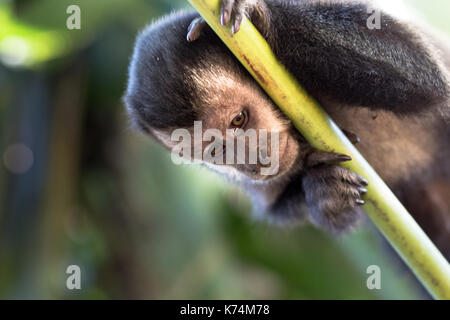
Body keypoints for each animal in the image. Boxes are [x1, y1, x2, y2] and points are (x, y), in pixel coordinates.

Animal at [125, 0, 450, 258]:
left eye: (239, 120)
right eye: (217, 150)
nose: (254, 163)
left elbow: (425, 77)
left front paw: (260, 17)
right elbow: (280, 205)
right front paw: (325, 193)